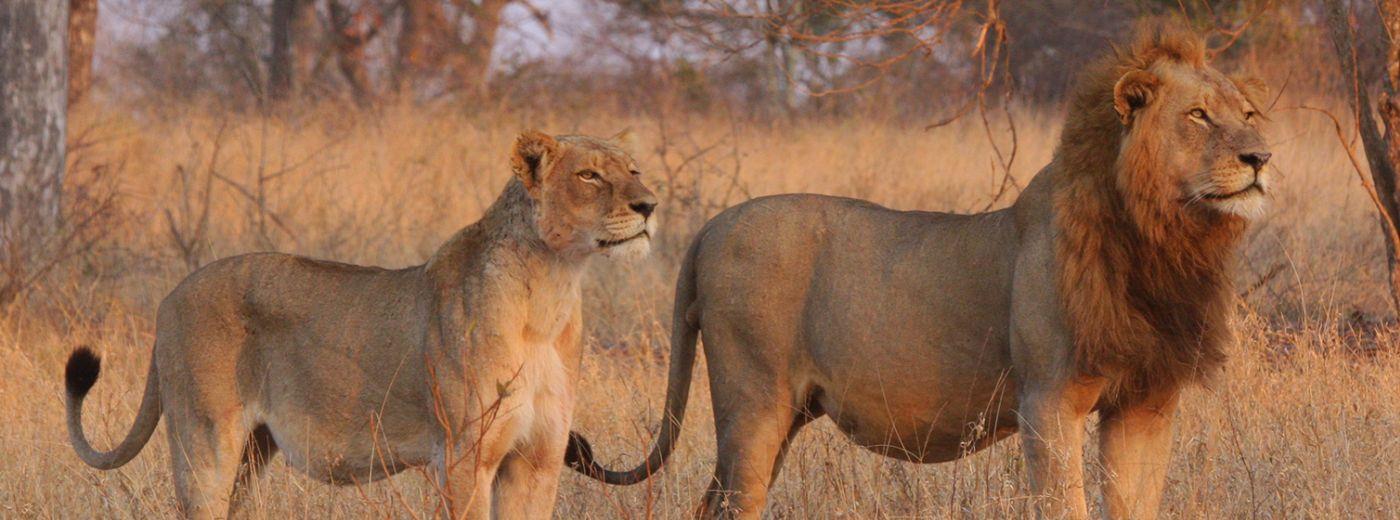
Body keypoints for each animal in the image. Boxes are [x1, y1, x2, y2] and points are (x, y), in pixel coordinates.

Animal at [63, 130, 658, 520]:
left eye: (634, 170)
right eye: (589, 175)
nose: (650, 204)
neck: (553, 289)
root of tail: (171, 297)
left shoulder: (538, 459)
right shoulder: (464, 456)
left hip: (254, 450)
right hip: (205, 441)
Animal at [562, 22, 1276, 518]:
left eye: (1247, 114)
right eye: (1198, 115)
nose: (1261, 157)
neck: (1162, 238)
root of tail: (711, 228)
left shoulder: (1146, 404)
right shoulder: (1049, 400)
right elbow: (1063, 503)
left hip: (780, 413)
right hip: (753, 401)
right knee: (736, 501)